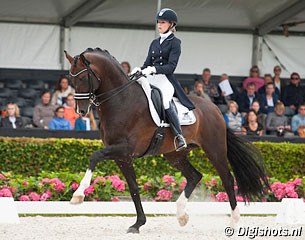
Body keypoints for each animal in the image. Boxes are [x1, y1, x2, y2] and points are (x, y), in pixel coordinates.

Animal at [64, 47, 268, 233]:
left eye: (83, 78)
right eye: (71, 80)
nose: (81, 111)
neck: (122, 101)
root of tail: (215, 109)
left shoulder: (124, 148)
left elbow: (94, 156)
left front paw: (78, 195)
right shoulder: (122, 156)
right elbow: (134, 188)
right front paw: (138, 224)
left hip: (214, 149)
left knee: (227, 178)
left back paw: (233, 222)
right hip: (175, 155)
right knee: (195, 176)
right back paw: (181, 215)